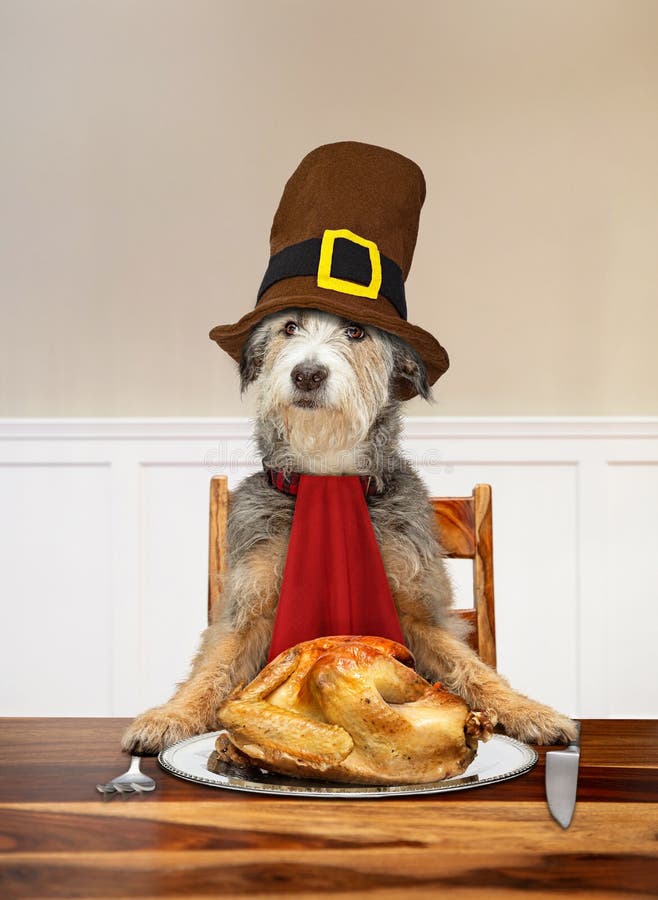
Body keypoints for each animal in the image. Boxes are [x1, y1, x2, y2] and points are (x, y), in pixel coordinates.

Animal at [123, 310, 576, 752]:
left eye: (356, 332)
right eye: (289, 327)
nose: (307, 374)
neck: (327, 472)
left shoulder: (422, 613)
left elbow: (472, 667)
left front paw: (528, 710)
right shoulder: (247, 609)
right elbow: (211, 670)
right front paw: (171, 715)